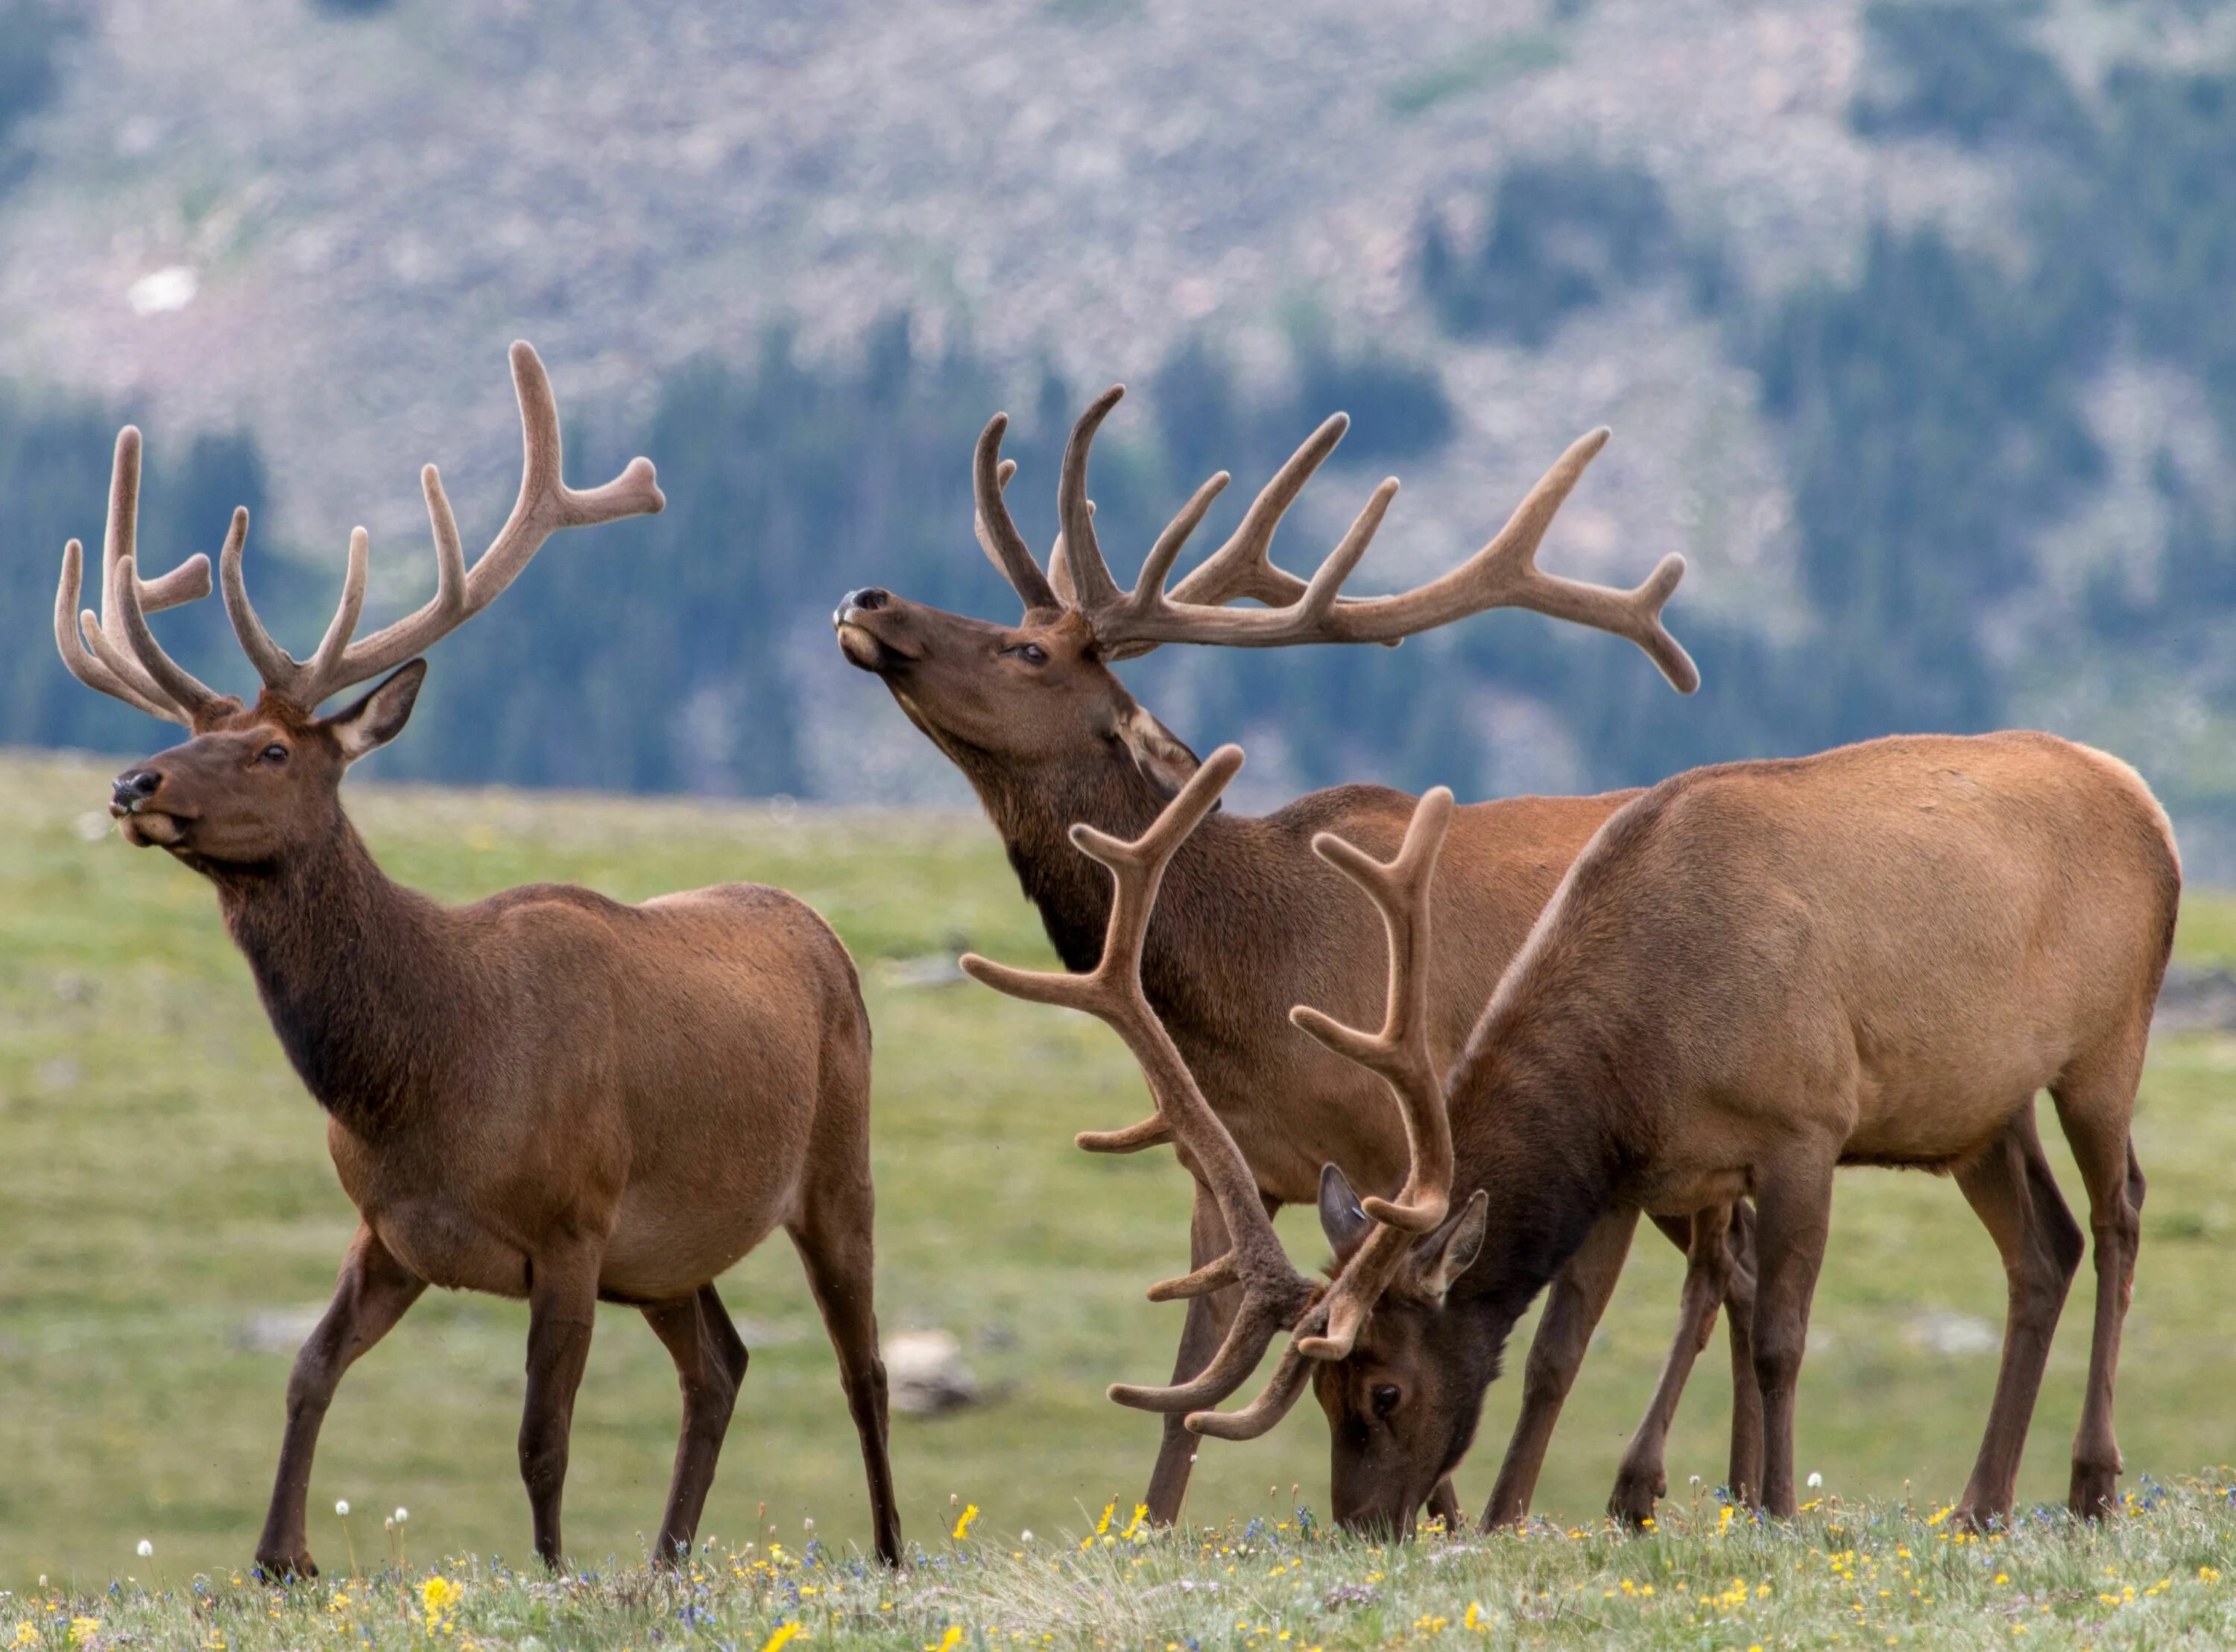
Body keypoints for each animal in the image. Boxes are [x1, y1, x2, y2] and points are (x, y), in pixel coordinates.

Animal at [50, 340, 899, 1574]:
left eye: (270, 751)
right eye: (190, 735)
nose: (131, 782)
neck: (426, 1077)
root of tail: (820, 928)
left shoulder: (575, 1223)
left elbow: (542, 1435)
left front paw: (550, 1569)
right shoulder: (393, 1229)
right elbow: (307, 1371)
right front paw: (278, 1558)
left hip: (834, 1167)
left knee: (860, 1363)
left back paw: (888, 1548)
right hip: (668, 1252)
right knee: (721, 1363)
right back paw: (665, 1559)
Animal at [841, 387, 1762, 1529]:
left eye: (1029, 654)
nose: (868, 595)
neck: (1240, 987)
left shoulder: (1400, 1155)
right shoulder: (1225, 1173)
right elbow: (1185, 1401)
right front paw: (1155, 1530)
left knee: (1725, 1271)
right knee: (1744, 1268)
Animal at [1006, 738, 2173, 1538]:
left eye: (1383, 1388)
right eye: (1326, 1393)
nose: (1363, 1528)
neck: (1643, 1048)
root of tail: (2146, 799)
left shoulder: (1807, 1125)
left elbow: (1780, 1336)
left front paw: (1777, 1510)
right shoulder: (1629, 1173)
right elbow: (1553, 1354)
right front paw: (1502, 1519)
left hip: (2106, 1047)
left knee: (2120, 1214)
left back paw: (2092, 1484)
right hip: (1981, 1112)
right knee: (2046, 1245)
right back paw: (1983, 1502)